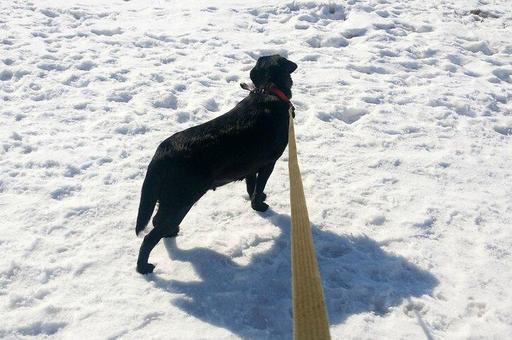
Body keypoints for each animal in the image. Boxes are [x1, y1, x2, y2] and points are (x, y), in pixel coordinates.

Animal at [134, 55, 298, 274]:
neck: (268, 89)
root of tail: (162, 152)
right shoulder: (268, 163)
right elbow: (258, 187)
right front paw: (259, 205)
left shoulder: (250, 166)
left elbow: (251, 185)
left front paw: (255, 201)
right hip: (180, 201)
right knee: (149, 237)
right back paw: (143, 267)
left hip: (170, 200)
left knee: (156, 222)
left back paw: (171, 233)